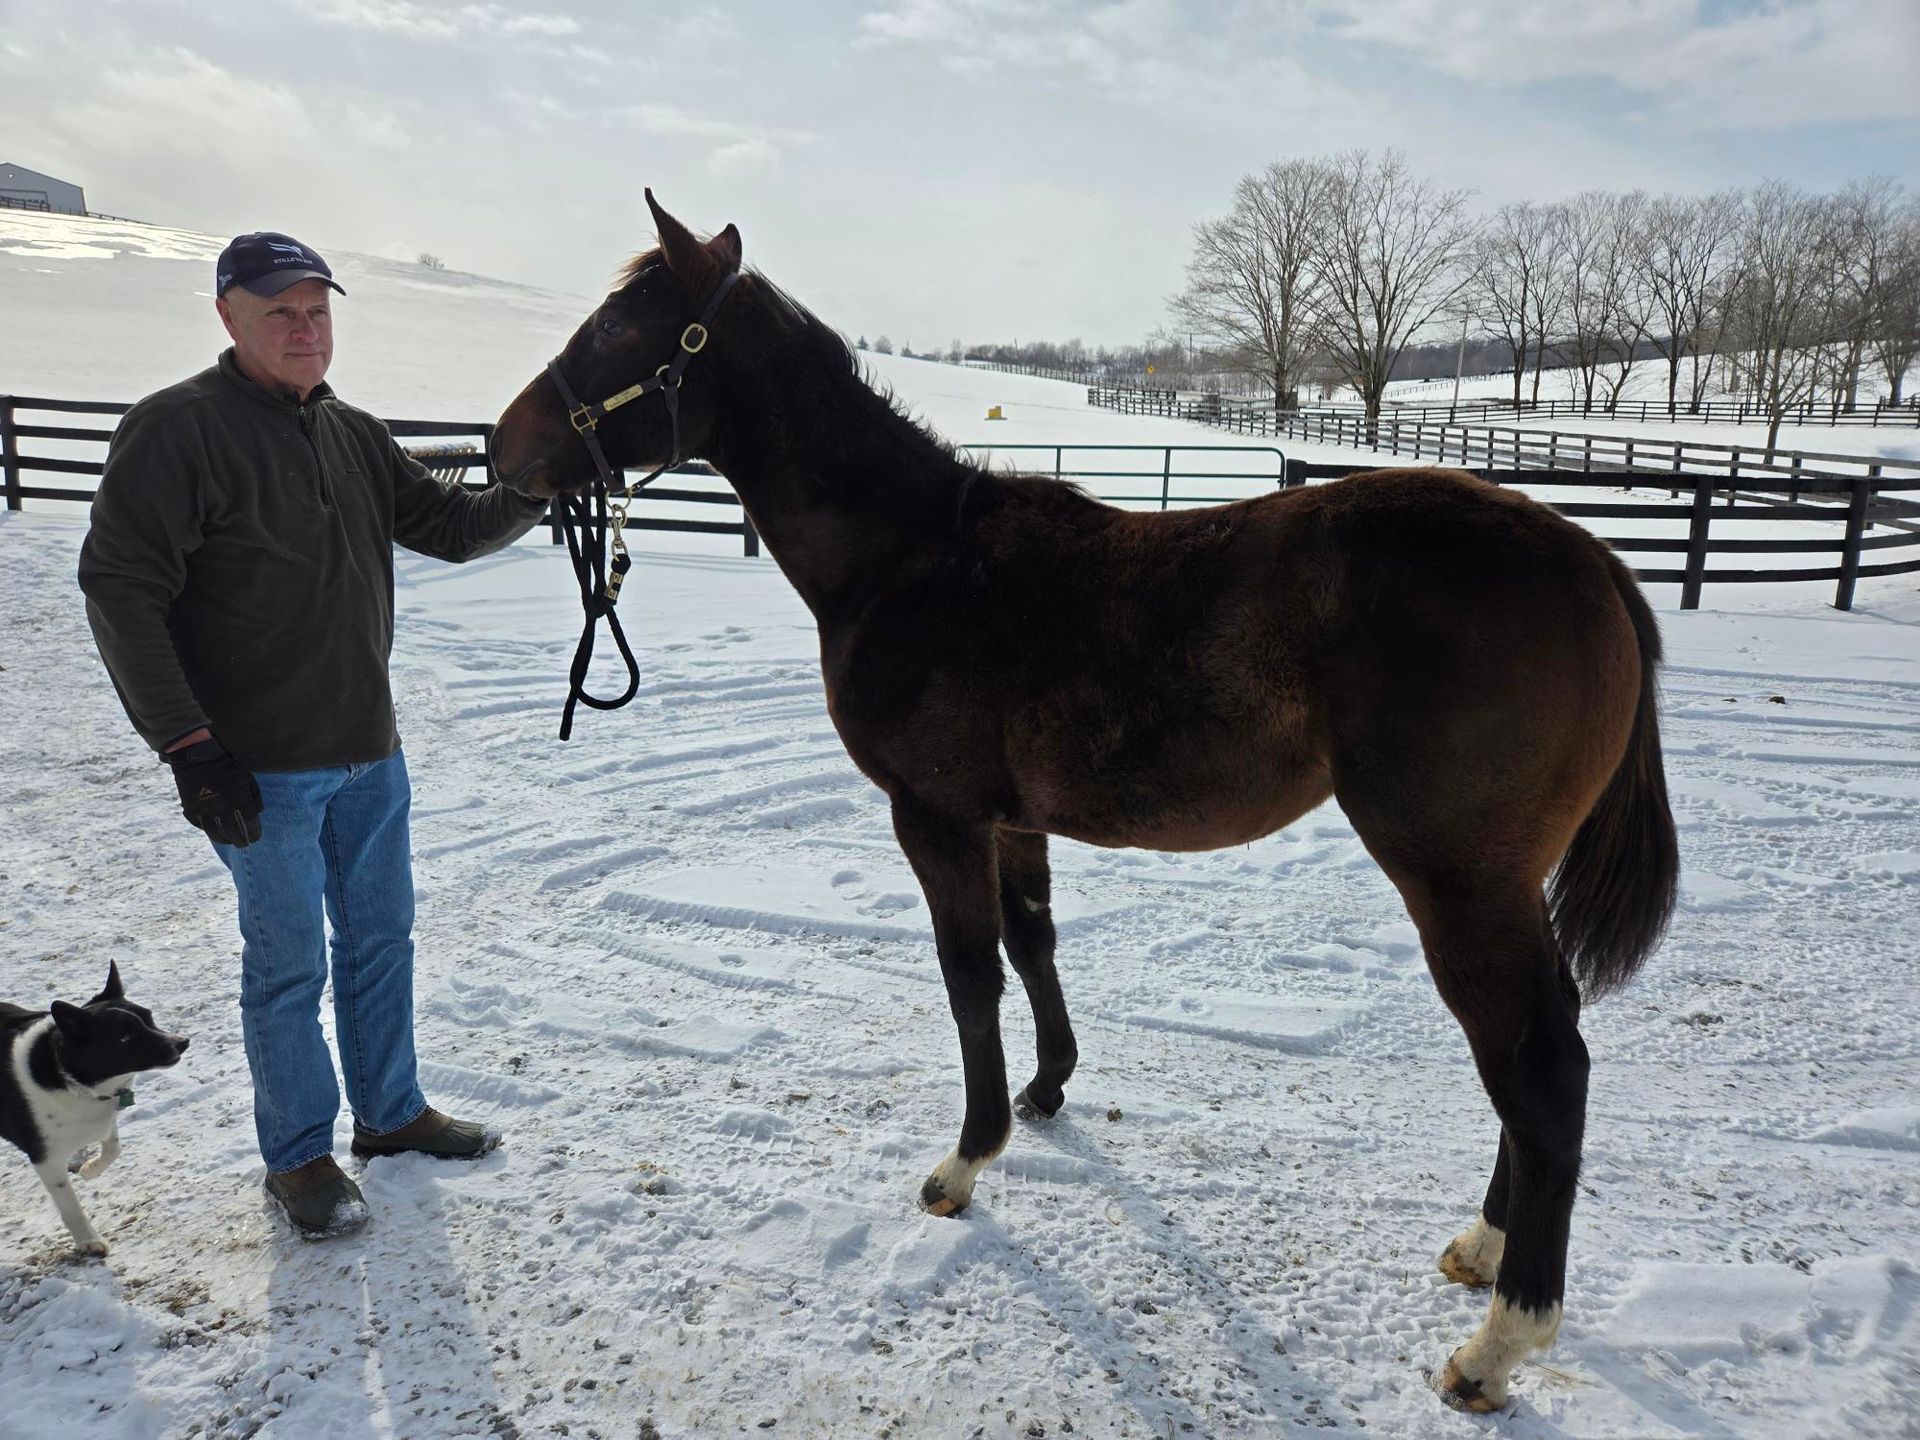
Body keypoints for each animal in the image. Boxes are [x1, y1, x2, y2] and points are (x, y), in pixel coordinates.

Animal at [489, 192, 1679, 1412]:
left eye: (619, 329)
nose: (499, 447)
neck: (913, 560)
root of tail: (1598, 563)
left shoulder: (936, 817)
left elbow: (969, 978)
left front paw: (965, 1161)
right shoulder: (1015, 821)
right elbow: (1033, 945)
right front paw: (1047, 1090)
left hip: (1459, 879)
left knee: (1538, 1070)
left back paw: (1499, 1340)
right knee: (1540, 1051)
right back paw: (1482, 1247)